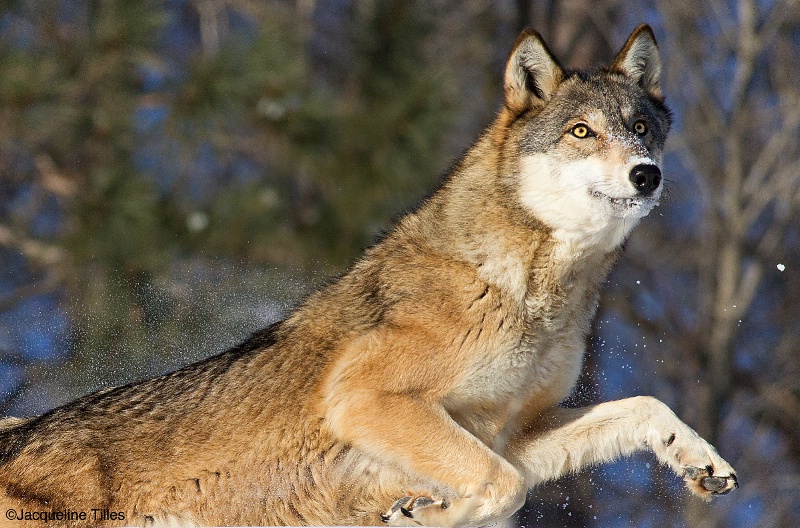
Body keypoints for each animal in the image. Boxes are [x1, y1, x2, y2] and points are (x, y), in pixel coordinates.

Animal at [0, 25, 736, 528]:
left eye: (641, 127)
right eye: (583, 132)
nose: (647, 174)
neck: (529, 293)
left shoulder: (513, 434)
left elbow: (640, 408)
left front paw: (700, 460)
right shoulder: (366, 399)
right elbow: (503, 487)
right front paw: (425, 513)